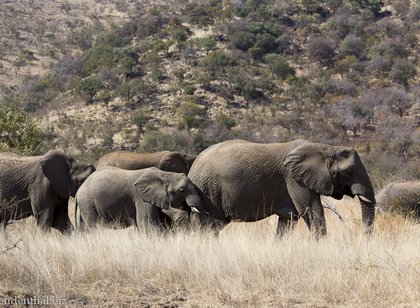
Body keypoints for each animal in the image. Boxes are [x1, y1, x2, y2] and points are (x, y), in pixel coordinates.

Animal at [75, 167, 203, 230]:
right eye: (182, 190)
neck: (165, 174)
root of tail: (78, 192)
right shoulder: (141, 197)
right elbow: (147, 223)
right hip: (88, 203)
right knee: (94, 226)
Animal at [189, 138, 376, 237]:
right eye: (349, 171)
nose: (363, 239)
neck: (324, 148)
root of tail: (195, 163)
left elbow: (288, 220)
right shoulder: (295, 179)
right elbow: (312, 211)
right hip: (208, 189)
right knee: (209, 225)